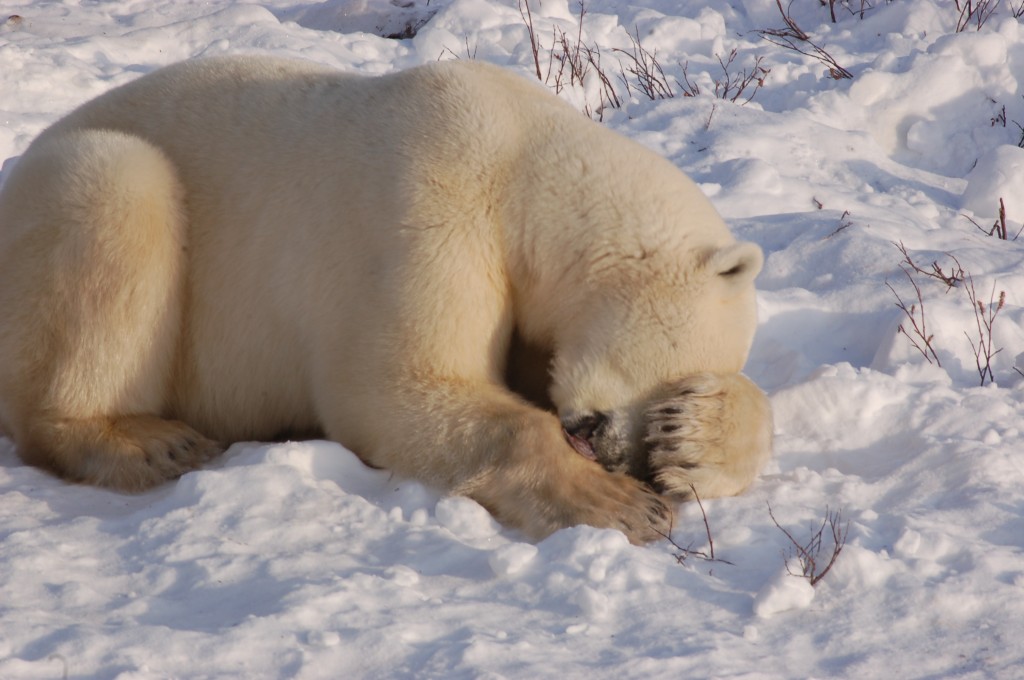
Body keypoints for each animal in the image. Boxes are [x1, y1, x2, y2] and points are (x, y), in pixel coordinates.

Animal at [0, 56, 772, 544]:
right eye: (665, 366)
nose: (623, 456)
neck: (523, 161)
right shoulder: (429, 200)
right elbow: (392, 384)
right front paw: (623, 506)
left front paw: (693, 439)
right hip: (73, 197)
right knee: (118, 189)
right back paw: (147, 441)